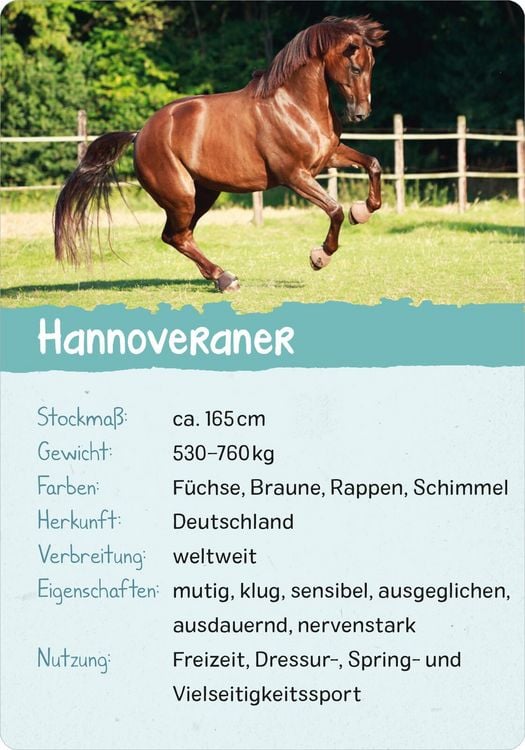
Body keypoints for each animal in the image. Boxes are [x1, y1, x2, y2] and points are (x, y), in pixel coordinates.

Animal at [54, 16, 386, 292]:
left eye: (372, 66)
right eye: (355, 67)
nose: (361, 114)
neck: (293, 106)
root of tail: (139, 134)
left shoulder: (327, 157)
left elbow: (373, 165)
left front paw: (363, 210)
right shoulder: (294, 175)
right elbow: (335, 210)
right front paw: (320, 256)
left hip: (204, 194)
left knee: (179, 236)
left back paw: (220, 277)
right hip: (182, 197)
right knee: (176, 236)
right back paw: (225, 279)